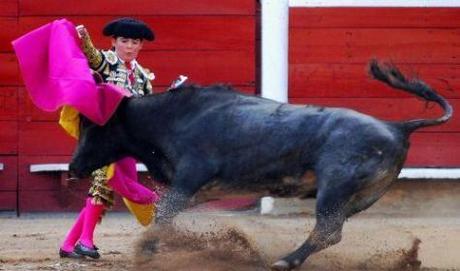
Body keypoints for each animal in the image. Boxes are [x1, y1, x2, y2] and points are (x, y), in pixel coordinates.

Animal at [69, 60, 452, 271]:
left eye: (94, 127)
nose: (73, 167)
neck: (173, 118)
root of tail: (397, 126)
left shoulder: (190, 178)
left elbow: (162, 214)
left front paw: (147, 251)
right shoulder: (197, 189)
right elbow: (164, 213)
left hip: (334, 187)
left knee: (327, 229)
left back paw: (285, 261)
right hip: (356, 197)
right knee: (331, 231)